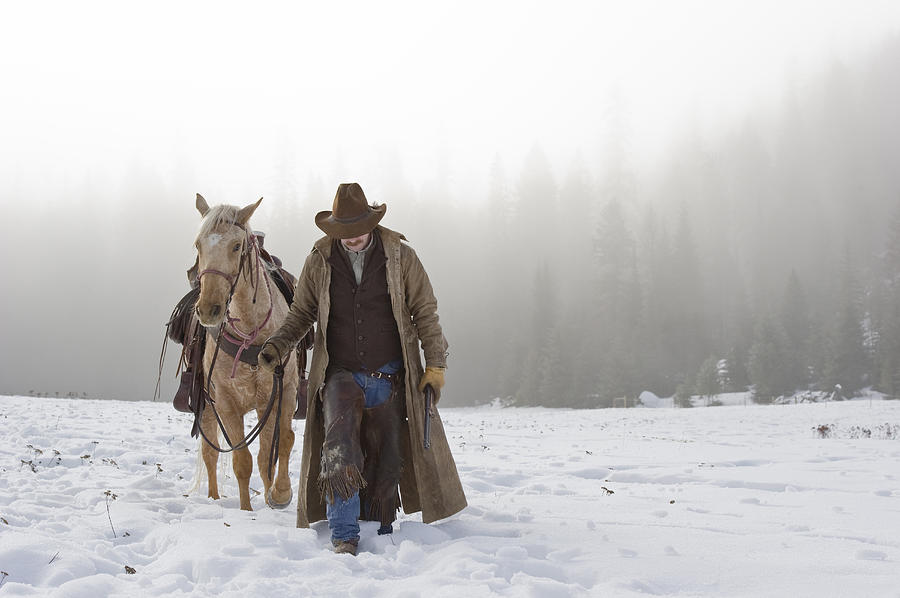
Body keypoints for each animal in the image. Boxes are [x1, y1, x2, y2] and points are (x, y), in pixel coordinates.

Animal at [193, 196, 298, 510]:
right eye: (198, 245)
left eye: (236, 246)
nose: (209, 309)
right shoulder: (226, 403)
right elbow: (242, 460)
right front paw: (246, 511)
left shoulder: (281, 393)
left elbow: (279, 446)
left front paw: (279, 495)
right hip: (207, 408)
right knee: (211, 453)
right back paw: (214, 498)